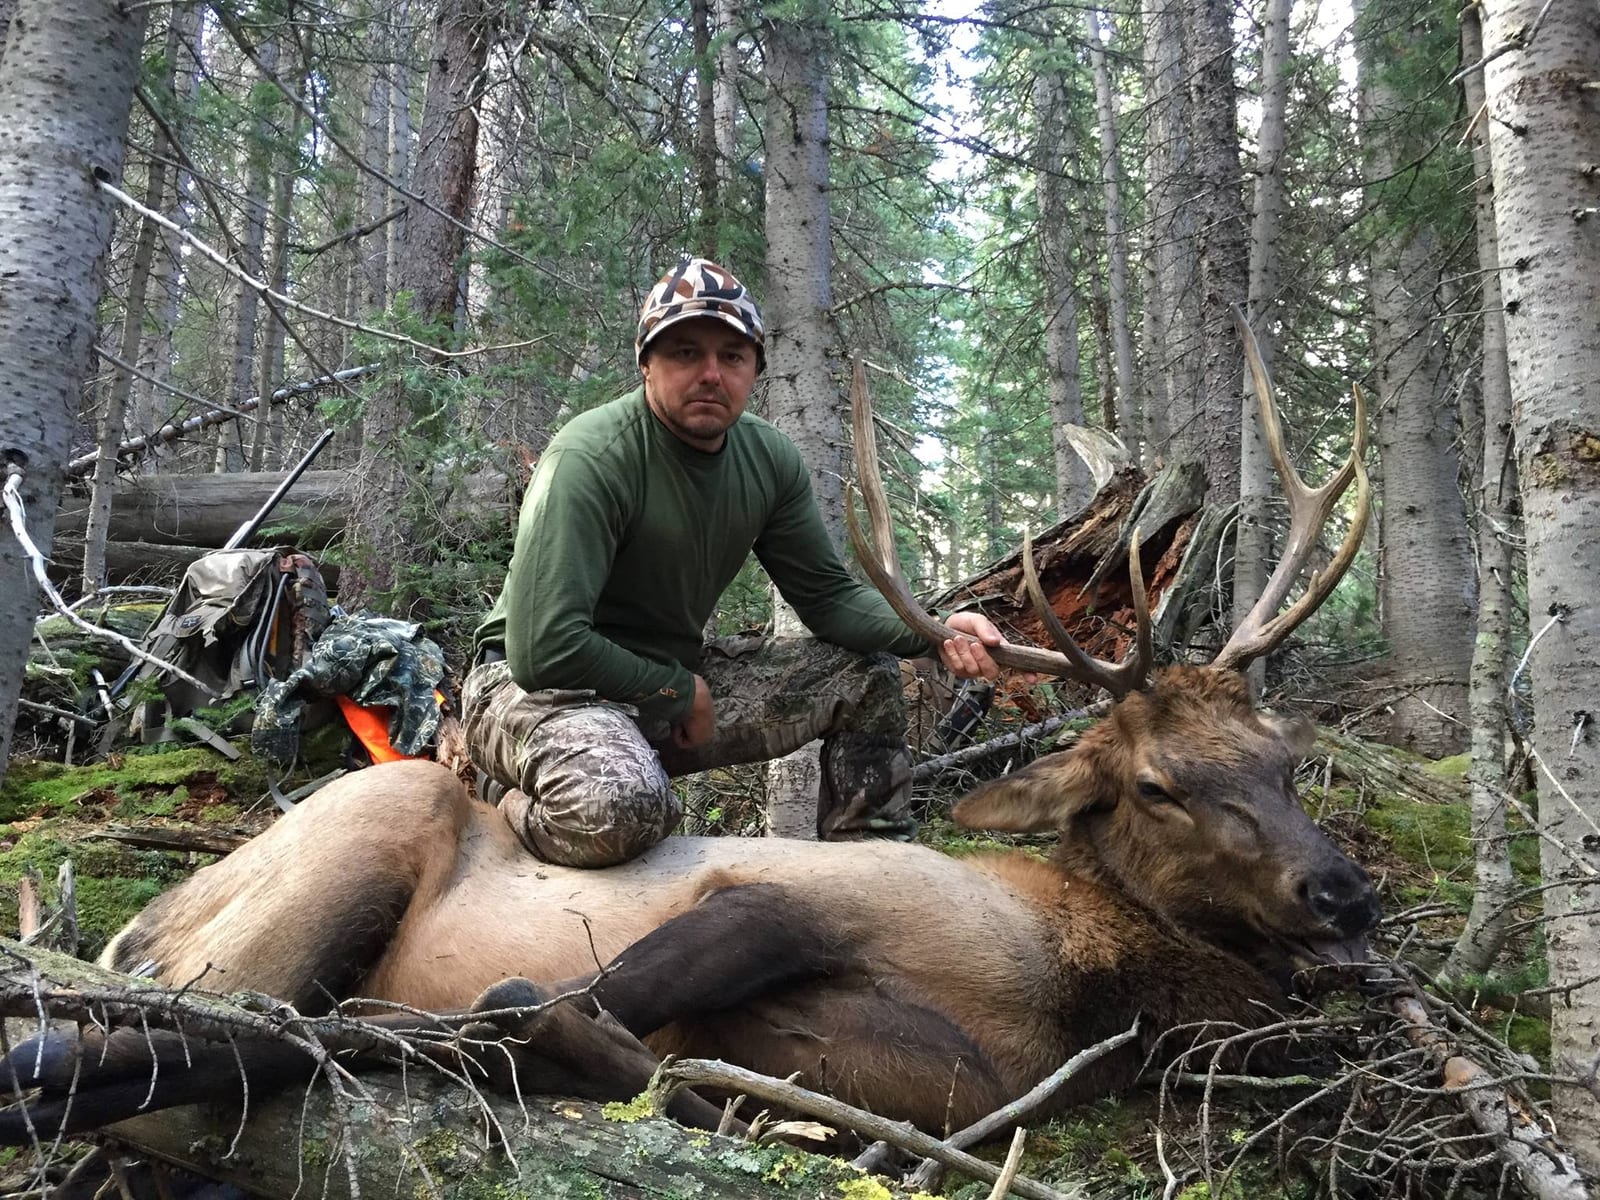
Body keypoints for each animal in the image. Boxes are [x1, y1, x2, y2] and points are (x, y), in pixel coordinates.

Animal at [0, 331, 1379, 1146]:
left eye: (1282, 759)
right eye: (1156, 782)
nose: (1344, 891)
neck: (1083, 979)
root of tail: (140, 922)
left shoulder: (971, 1086)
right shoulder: (788, 897)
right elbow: (540, 1003)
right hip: (323, 872)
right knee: (197, 1024)